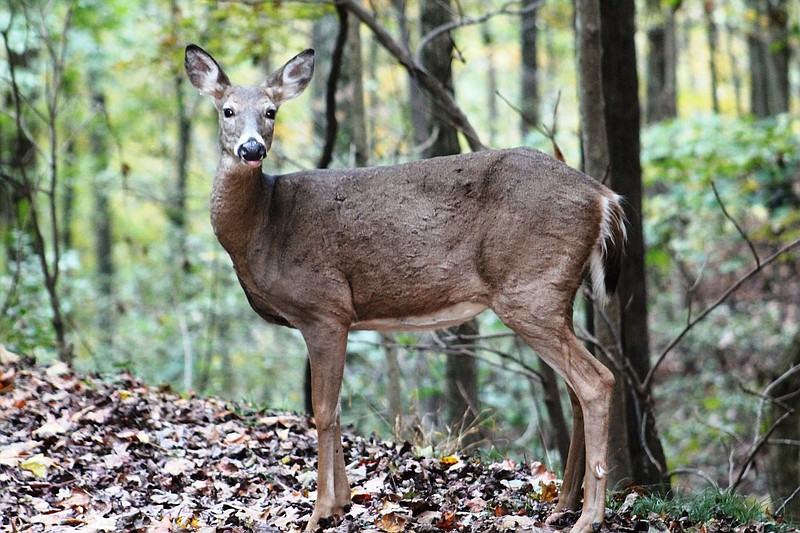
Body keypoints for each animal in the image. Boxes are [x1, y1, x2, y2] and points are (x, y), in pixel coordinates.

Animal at [184, 43, 626, 533]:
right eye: (227, 110)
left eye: (271, 111)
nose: (252, 148)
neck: (263, 226)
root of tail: (603, 197)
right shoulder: (332, 318)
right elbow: (337, 409)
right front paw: (342, 504)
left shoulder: (325, 307)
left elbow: (323, 411)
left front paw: (319, 513)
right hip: (556, 291)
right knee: (575, 389)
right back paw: (562, 505)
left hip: (529, 290)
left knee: (597, 381)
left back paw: (589, 516)